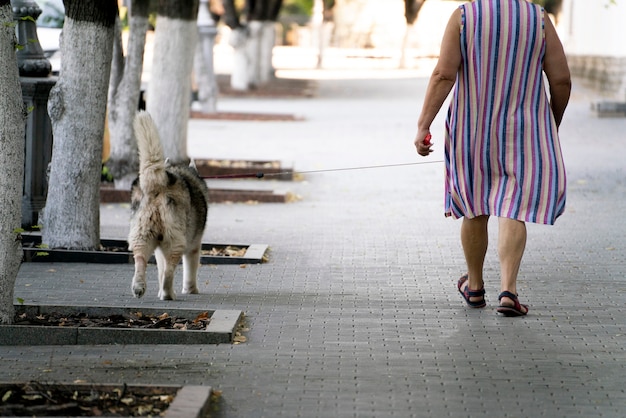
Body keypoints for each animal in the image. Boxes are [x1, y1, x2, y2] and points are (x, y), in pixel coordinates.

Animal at [128, 111, 208, 300]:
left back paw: (139, 286)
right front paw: (191, 289)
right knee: (169, 270)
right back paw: (167, 293)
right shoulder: (194, 245)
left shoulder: (159, 249)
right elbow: (190, 268)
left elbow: (160, 268)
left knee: (141, 260)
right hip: (175, 240)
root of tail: (158, 183)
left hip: (142, 235)